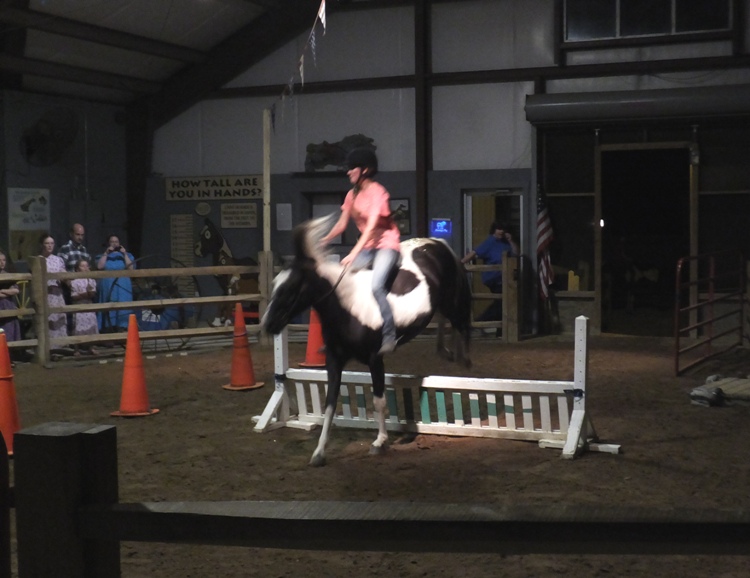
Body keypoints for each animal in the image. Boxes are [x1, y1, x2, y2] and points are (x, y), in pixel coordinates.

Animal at [262, 215, 470, 464]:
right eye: (275, 284)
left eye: (291, 287)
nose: (267, 325)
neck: (348, 308)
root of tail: (437, 242)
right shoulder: (334, 361)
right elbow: (330, 403)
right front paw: (319, 452)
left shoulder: (375, 359)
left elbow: (379, 400)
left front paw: (380, 442)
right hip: (441, 304)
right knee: (443, 319)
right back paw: (445, 351)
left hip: (452, 300)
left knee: (461, 324)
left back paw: (462, 358)